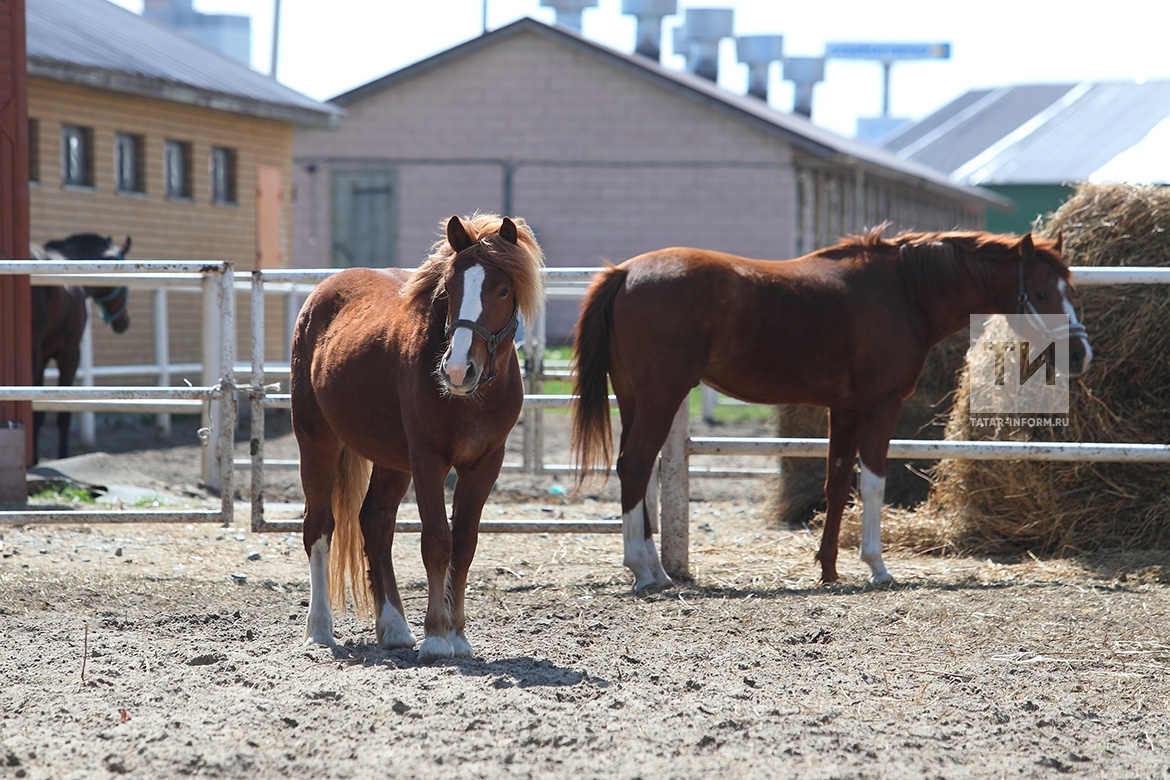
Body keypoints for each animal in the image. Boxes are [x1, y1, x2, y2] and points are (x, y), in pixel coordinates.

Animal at [30, 233, 131, 463]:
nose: (124, 322)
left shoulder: (43, 358)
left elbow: (38, 414)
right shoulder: (69, 355)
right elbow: (63, 413)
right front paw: (61, 458)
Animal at [292, 211, 547, 659]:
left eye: (502, 290)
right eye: (450, 287)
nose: (458, 370)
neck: (472, 399)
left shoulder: (485, 464)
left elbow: (464, 544)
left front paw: (458, 635)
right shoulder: (429, 460)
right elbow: (437, 542)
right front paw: (436, 636)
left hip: (392, 461)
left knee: (374, 523)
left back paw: (393, 627)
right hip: (317, 441)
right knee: (319, 526)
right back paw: (320, 629)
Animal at [570, 225, 1090, 591]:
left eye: (1072, 290)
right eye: (1042, 293)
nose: (1080, 355)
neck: (902, 291)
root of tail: (625, 273)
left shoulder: (843, 410)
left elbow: (837, 484)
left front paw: (829, 569)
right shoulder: (880, 405)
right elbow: (874, 483)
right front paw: (877, 566)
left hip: (634, 398)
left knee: (635, 472)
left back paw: (652, 568)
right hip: (662, 395)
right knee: (636, 465)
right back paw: (644, 571)